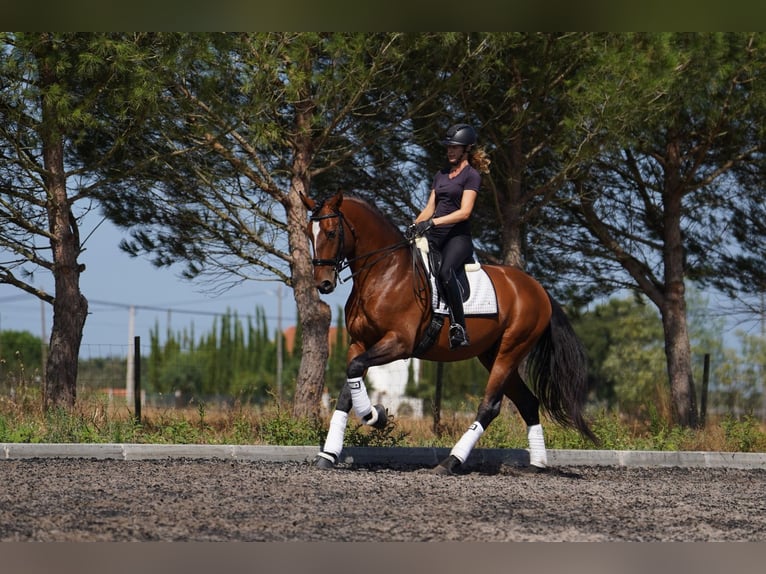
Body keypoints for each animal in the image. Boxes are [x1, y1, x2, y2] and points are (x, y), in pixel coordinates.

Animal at [304, 191, 596, 474]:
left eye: (331, 232)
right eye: (309, 233)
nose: (323, 283)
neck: (384, 273)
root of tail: (538, 289)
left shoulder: (399, 343)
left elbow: (355, 371)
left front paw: (375, 416)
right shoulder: (360, 342)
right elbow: (348, 387)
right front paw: (329, 454)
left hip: (510, 351)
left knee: (490, 407)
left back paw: (450, 462)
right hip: (492, 355)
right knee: (528, 402)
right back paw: (537, 464)